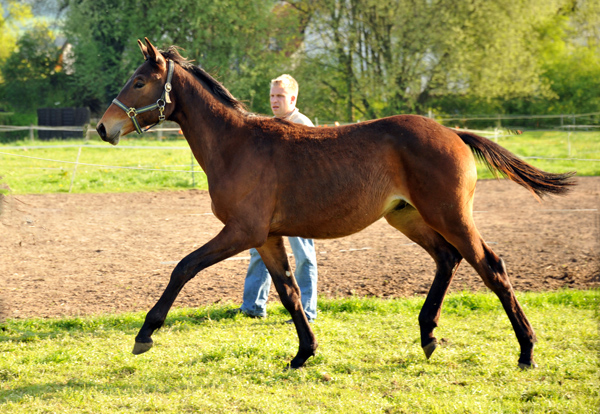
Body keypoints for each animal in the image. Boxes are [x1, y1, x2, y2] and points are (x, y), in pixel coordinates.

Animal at [96, 38, 576, 368]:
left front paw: (145, 334)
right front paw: (303, 353)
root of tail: (453, 133)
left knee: (490, 265)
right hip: (408, 217)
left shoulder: (242, 231)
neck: (237, 145)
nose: (104, 127)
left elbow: (183, 267)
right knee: (447, 259)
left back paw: (526, 351)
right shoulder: (265, 237)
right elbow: (289, 291)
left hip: (450, 215)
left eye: (139, 81)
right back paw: (428, 336)